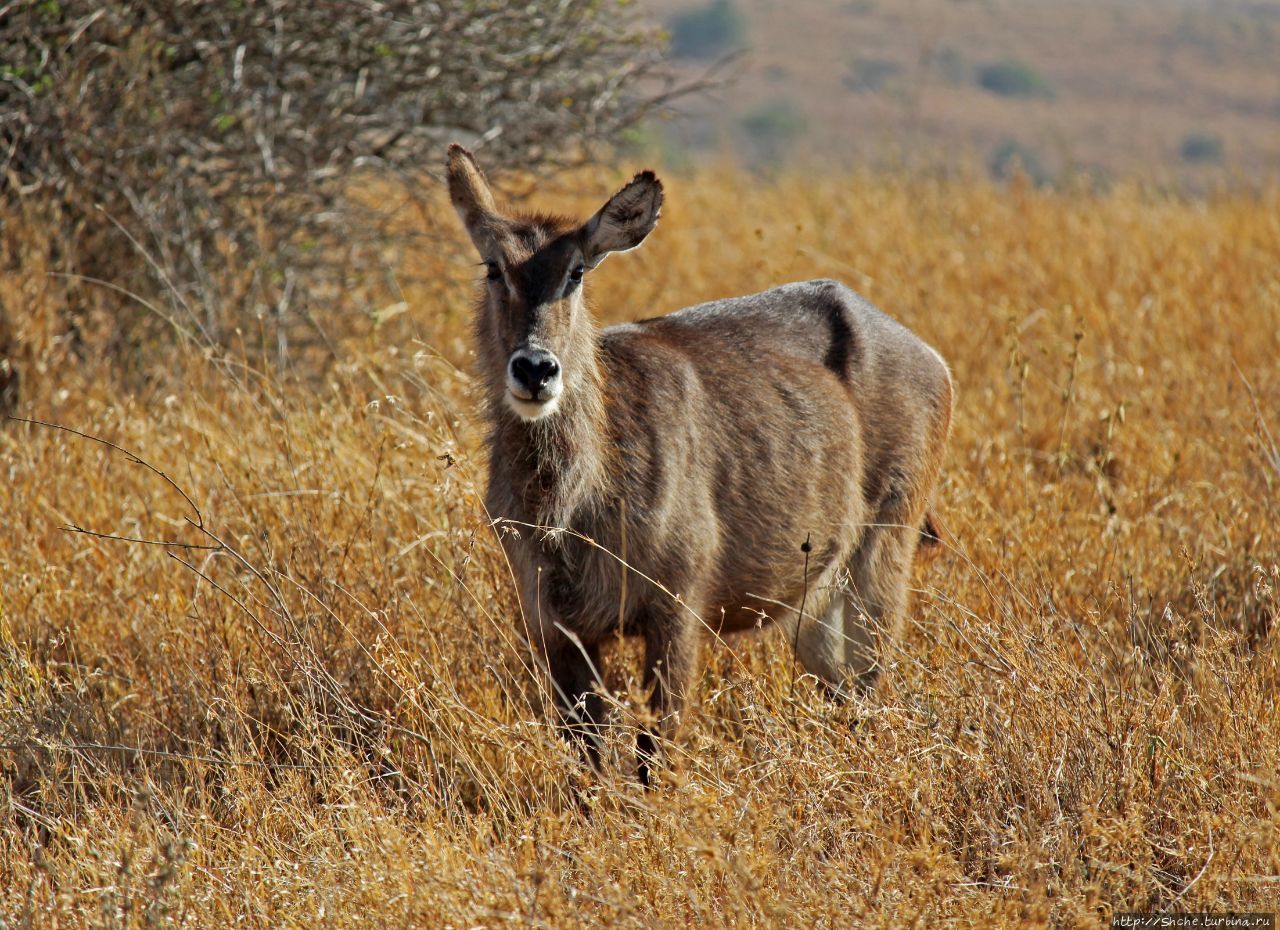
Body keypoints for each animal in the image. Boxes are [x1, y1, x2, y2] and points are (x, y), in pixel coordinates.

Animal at [445, 145, 957, 788]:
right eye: (494, 267)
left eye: (577, 272)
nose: (536, 368)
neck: (574, 506)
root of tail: (934, 360)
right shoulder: (551, 621)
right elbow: (586, 755)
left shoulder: (678, 605)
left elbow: (654, 750)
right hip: (815, 594)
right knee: (841, 691)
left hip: (886, 546)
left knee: (871, 685)